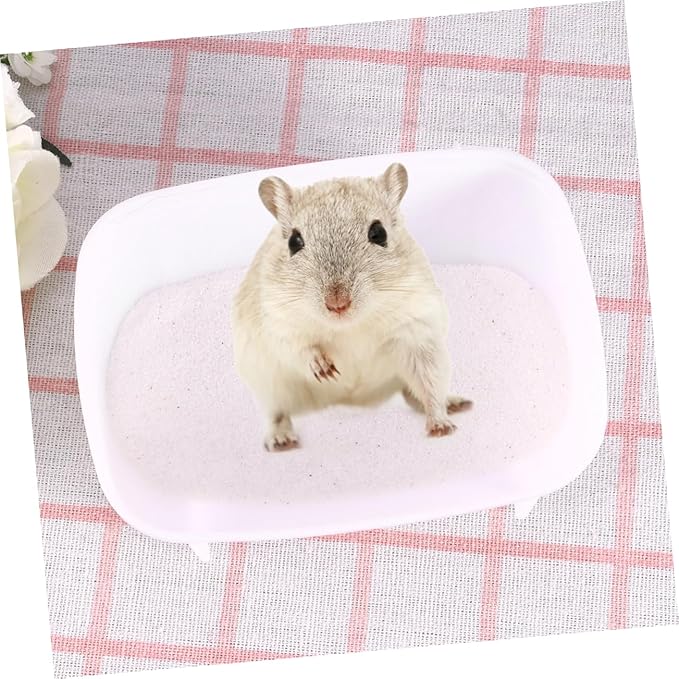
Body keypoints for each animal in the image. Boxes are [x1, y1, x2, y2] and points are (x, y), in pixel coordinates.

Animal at [232, 162, 472, 452]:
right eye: (294, 242)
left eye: (379, 233)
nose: (337, 304)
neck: (350, 326)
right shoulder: (277, 324)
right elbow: (299, 348)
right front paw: (325, 370)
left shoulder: (418, 332)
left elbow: (430, 385)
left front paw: (441, 427)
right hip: (268, 385)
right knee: (277, 414)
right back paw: (281, 441)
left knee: (416, 392)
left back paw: (456, 404)